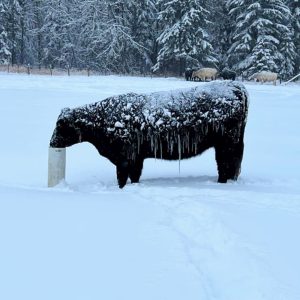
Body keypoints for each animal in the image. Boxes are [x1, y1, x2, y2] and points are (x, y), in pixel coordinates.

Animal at [50, 79, 248, 188]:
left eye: (60, 125)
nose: (52, 142)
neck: (103, 118)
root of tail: (235, 86)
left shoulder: (125, 158)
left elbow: (122, 178)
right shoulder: (136, 159)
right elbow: (134, 176)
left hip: (225, 145)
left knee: (225, 165)